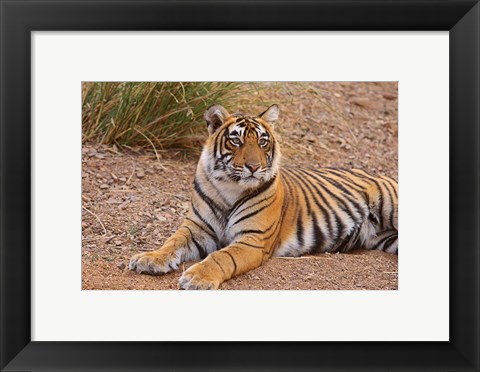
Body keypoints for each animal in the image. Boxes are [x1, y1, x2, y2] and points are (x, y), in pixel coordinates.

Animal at [129, 103, 400, 290]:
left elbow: (221, 257)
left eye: (262, 142)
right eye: (236, 141)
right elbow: (172, 242)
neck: (229, 188)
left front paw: (197, 277)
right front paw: (149, 259)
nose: (253, 167)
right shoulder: (196, 228)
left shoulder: (253, 240)